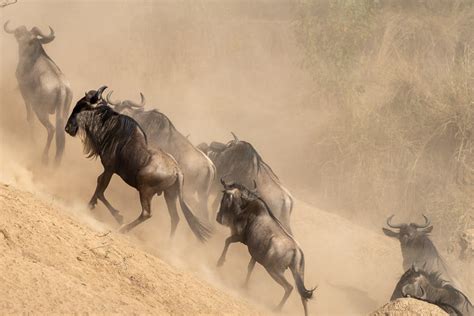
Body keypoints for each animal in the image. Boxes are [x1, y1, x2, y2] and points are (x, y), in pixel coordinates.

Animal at [216, 179, 314, 314]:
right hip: (298, 273)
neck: (246, 208)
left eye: (225, 196)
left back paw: (277, 309)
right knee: (303, 296)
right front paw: (244, 286)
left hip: (273, 269)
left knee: (289, 287)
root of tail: (297, 251)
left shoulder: (240, 237)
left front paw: (220, 262)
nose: (218, 218)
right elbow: (250, 268)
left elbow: (227, 241)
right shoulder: (255, 254)